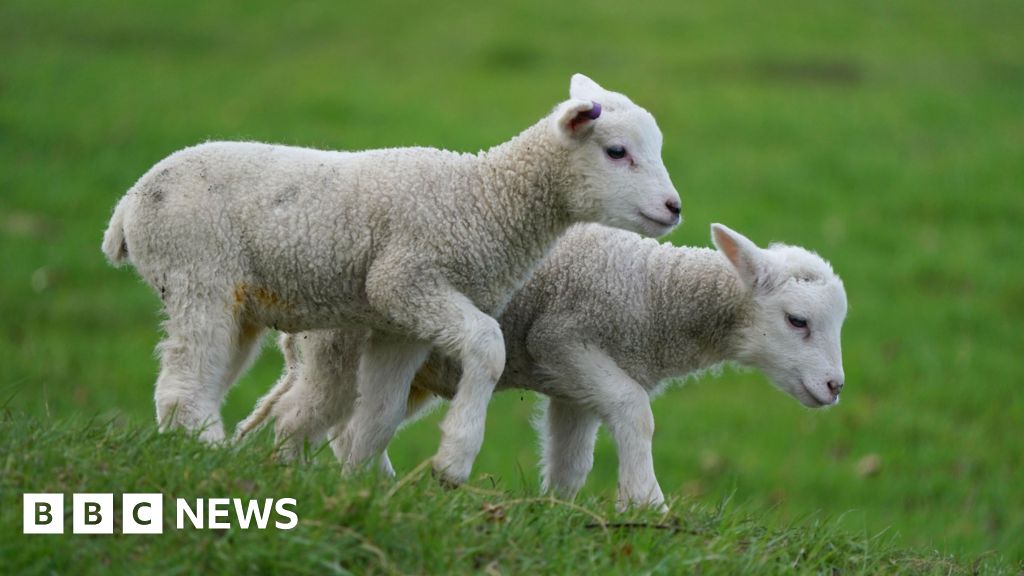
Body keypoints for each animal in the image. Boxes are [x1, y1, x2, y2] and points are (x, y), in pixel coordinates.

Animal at [101, 72, 679, 483]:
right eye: (617, 152)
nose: (674, 208)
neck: (486, 199)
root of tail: (128, 205)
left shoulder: (399, 321)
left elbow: (379, 413)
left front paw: (360, 485)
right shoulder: (407, 279)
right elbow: (487, 345)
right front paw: (453, 460)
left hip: (232, 302)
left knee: (208, 377)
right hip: (197, 272)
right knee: (182, 385)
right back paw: (210, 454)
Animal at [237, 220, 847, 506]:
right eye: (797, 321)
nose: (835, 387)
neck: (654, 294)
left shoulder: (572, 386)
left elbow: (572, 460)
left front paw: (561, 507)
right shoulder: (563, 339)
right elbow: (636, 410)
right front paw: (647, 500)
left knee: (349, 426)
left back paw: (378, 484)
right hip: (336, 345)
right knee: (303, 415)